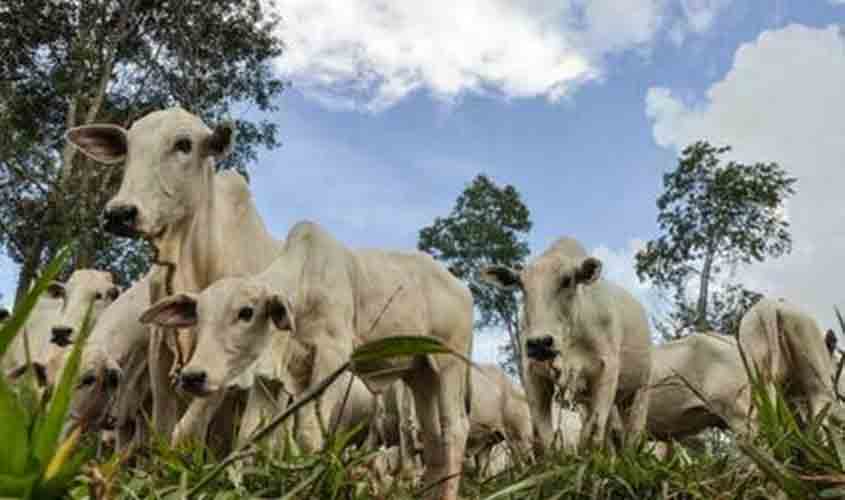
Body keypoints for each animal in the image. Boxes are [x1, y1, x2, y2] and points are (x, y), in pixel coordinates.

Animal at [64, 107, 280, 448]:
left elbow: (188, 429)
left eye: (184, 144)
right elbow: (163, 426)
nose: (119, 213)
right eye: (129, 146)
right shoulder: (159, 349)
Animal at [142, 223, 478, 500]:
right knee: (433, 440)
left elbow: (307, 434)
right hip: (420, 374)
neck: (304, 287)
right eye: (198, 315)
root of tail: (461, 287)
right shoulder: (272, 377)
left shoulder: (334, 358)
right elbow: (249, 437)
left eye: (246, 312)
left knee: (455, 428)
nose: (193, 376)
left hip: (449, 364)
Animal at [478, 236, 648, 452]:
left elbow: (593, 434)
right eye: (521, 285)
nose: (540, 343)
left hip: (640, 390)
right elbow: (549, 438)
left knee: (633, 432)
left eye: (567, 280)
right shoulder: (533, 376)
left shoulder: (607, 370)